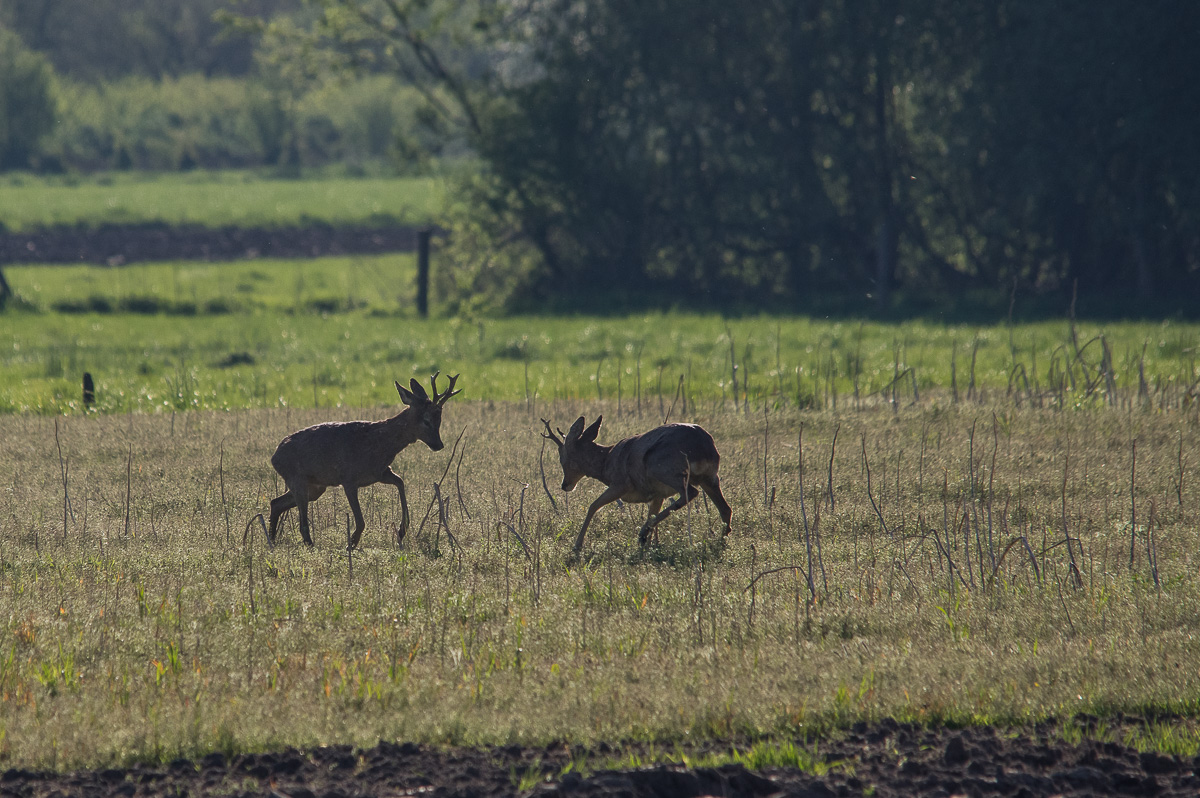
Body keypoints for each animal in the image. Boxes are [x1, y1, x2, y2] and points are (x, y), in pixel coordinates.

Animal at [267, 372, 458, 547]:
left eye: (439, 420)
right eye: (426, 420)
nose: (438, 444)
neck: (378, 443)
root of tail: (275, 456)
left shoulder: (380, 473)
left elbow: (401, 482)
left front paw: (401, 531)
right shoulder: (348, 478)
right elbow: (360, 521)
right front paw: (351, 542)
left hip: (315, 487)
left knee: (276, 502)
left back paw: (272, 539)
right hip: (297, 478)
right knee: (302, 524)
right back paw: (309, 546)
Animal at [542, 412, 729, 556]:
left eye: (562, 458)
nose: (564, 485)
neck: (606, 463)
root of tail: (703, 447)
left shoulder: (621, 483)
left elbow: (593, 506)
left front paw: (577, 545)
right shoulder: (657, 494)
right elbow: (651, 513)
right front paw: (648, 548)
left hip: (663, 467)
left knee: (690, 492)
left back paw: (643, 532)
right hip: (710, 477)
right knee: (725, 508)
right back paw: (722, 542)